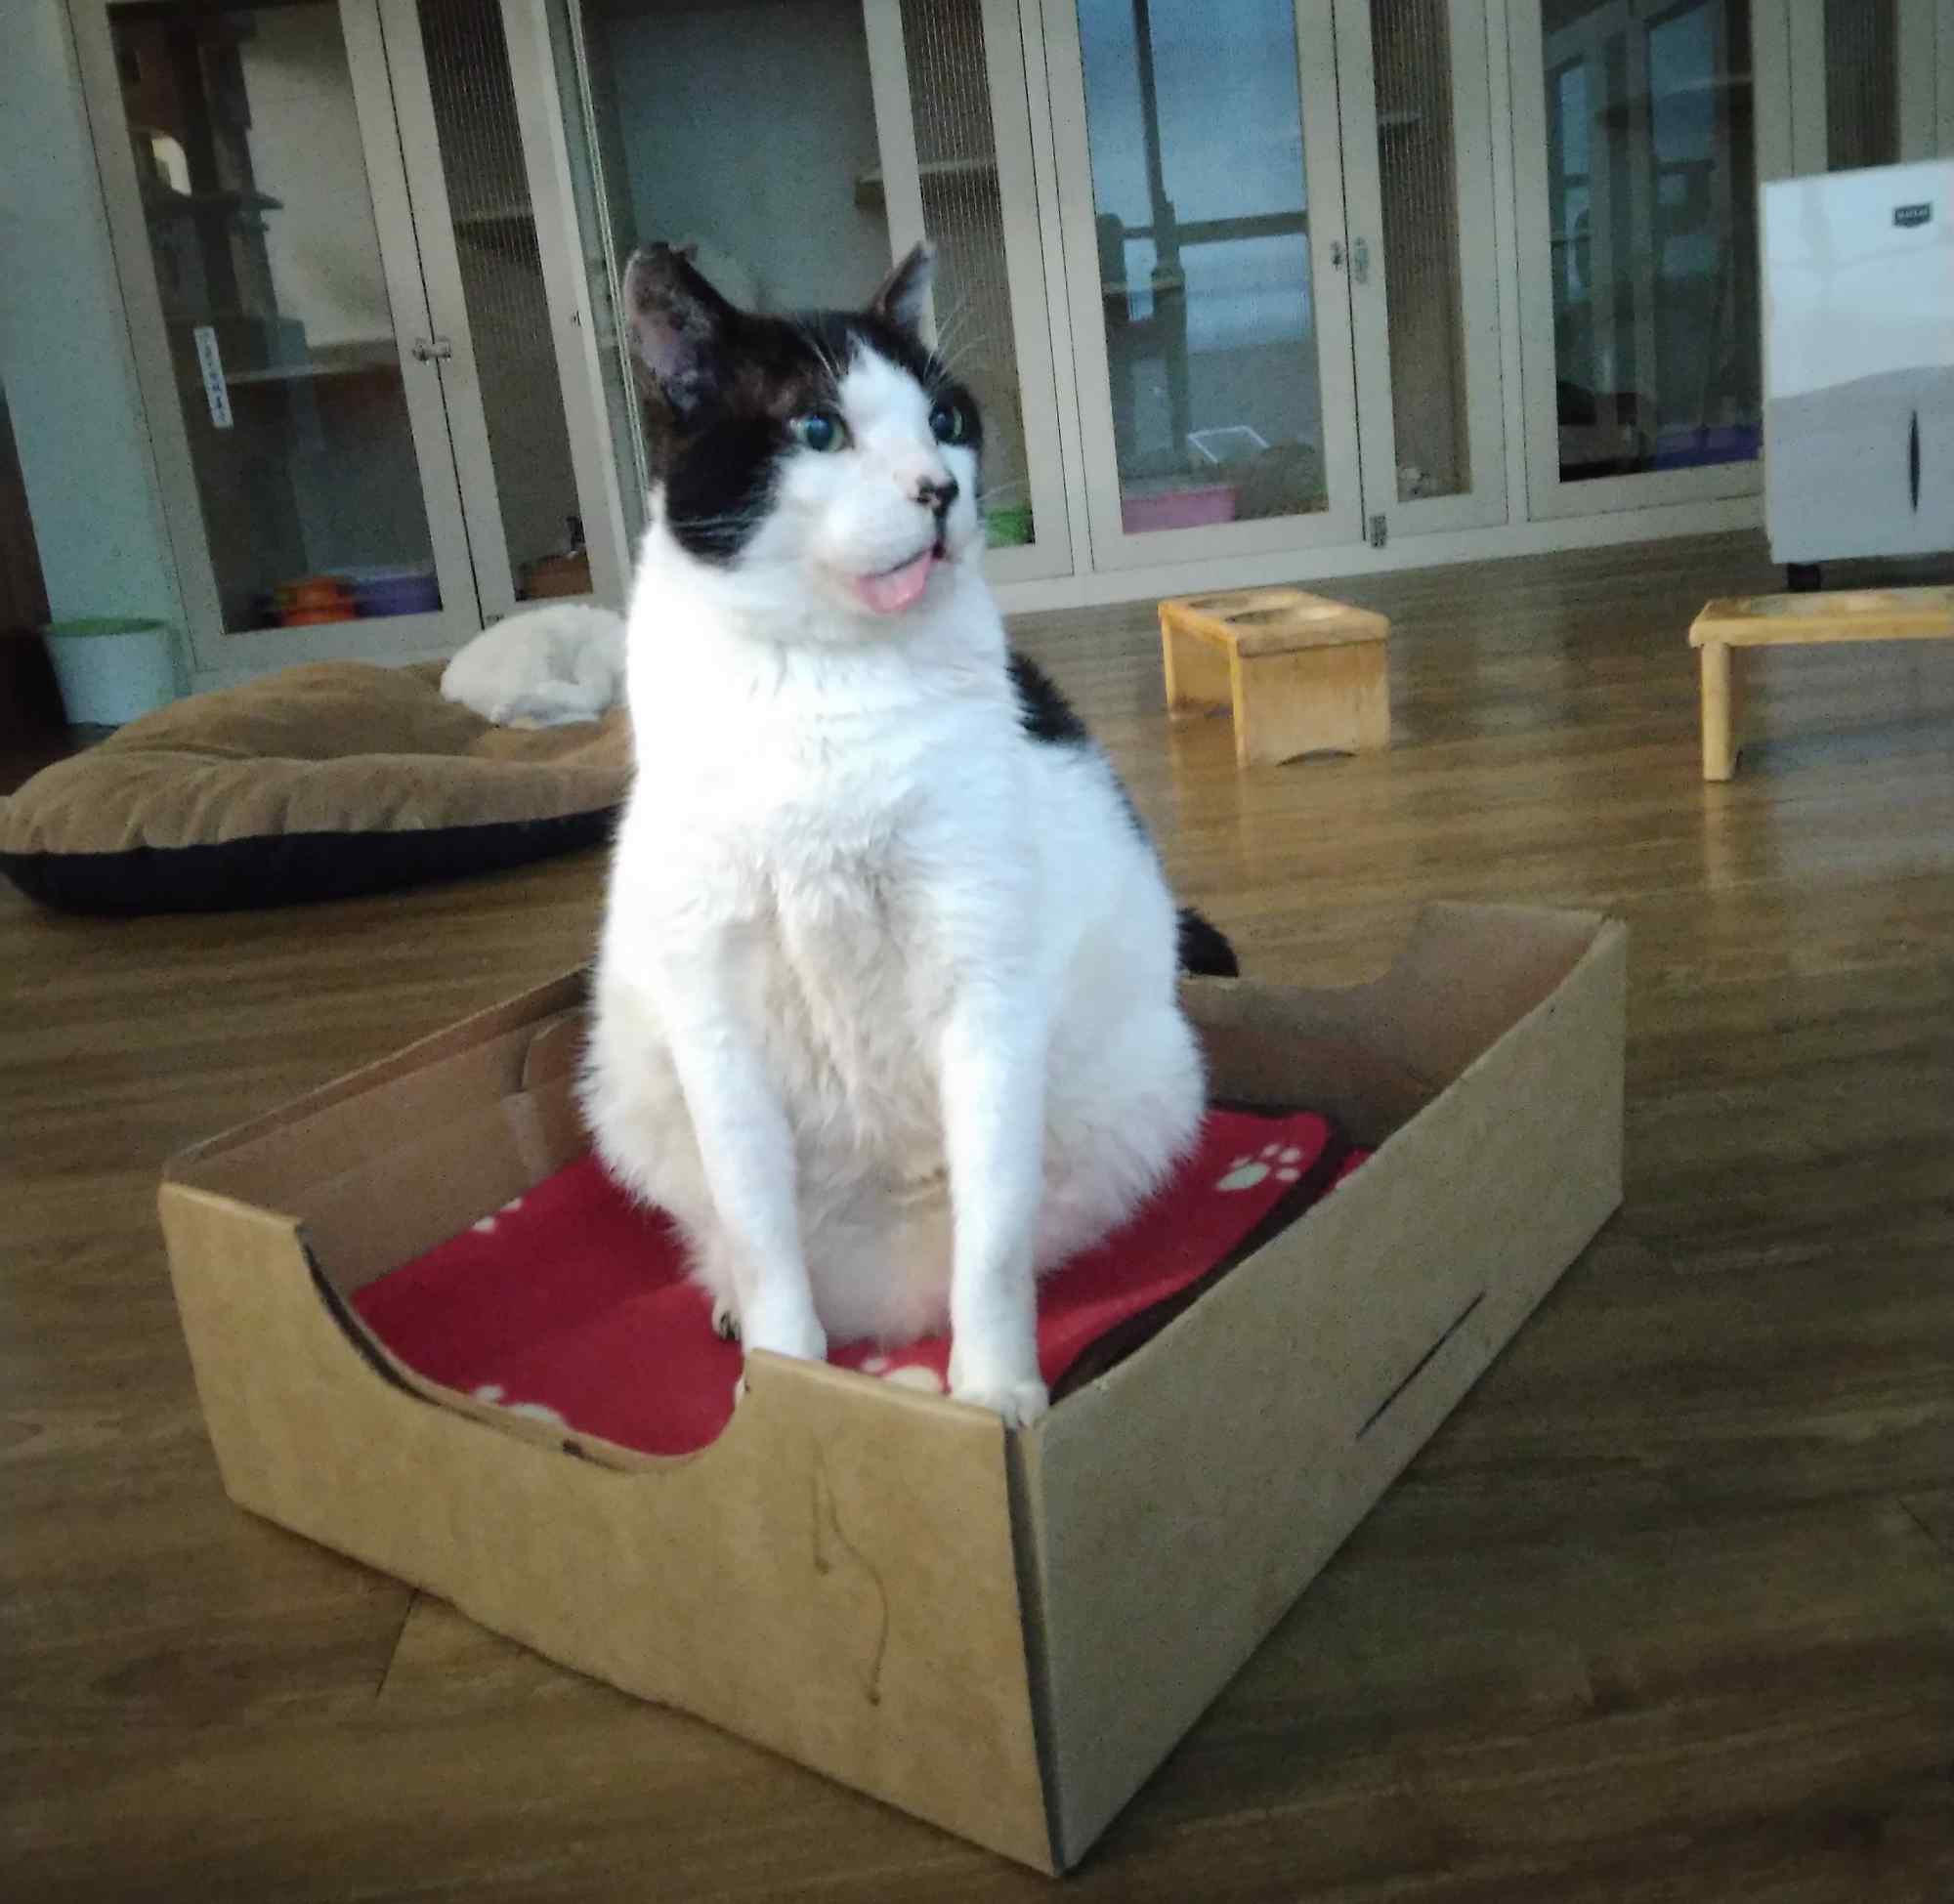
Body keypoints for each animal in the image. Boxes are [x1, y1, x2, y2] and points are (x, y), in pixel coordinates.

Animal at [578, 241, 1234, 1425]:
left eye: (944, 416)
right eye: (816, 428)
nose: (940, 491)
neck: (825, 683)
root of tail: (880, 1304)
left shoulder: (987, 997)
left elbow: (993, 1236)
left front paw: (993, 1392)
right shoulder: (716, 1028)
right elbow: (760, 1231)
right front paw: (786, 1389)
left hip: (1147, 1084)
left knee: (1011, 1231)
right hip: (630, 1086)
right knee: (733, 1239)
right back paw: (750, 1314)